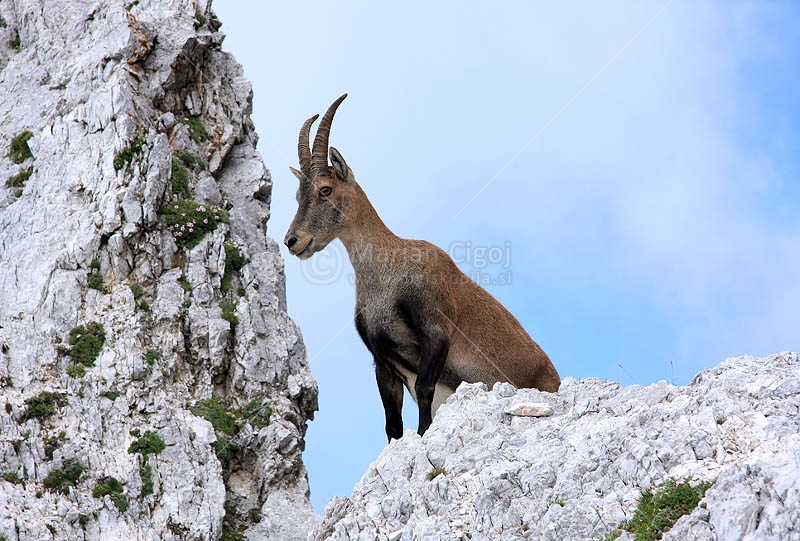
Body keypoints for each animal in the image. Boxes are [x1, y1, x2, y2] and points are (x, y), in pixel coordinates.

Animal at [284, 94, 560, 440]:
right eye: (298, 195)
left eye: (325, 189)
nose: (292, 241)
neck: (387, 272)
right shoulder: (382, 360)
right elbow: (392, 422)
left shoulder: (436, 330)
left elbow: (424, 388)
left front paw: (426, 431)